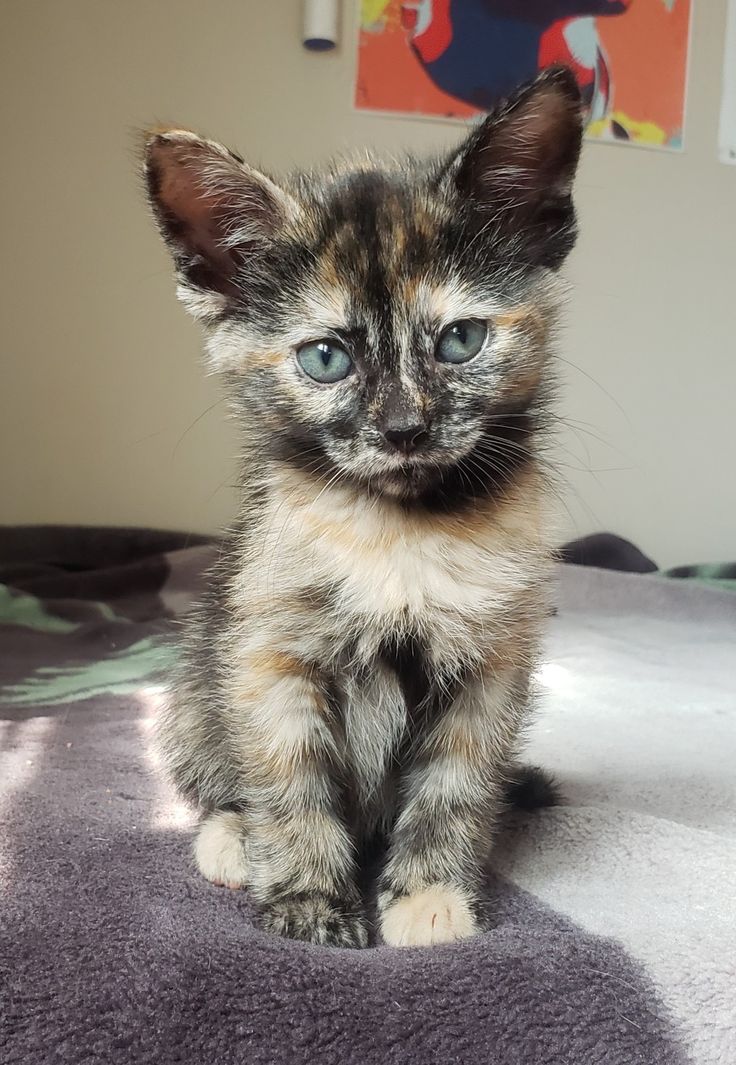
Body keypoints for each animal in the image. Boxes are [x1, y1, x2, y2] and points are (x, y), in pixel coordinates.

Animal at [143, 66, 583, 949]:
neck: (401, 528)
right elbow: (290, 782)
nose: (404, 428)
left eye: (459, 341)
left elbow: (455, 788)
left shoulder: (491, 667)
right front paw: (311, 897)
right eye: (325, 358)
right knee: (212, 778)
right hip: (195, 690)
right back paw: (230, 837)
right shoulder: (269, 653)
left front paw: (429, 894)